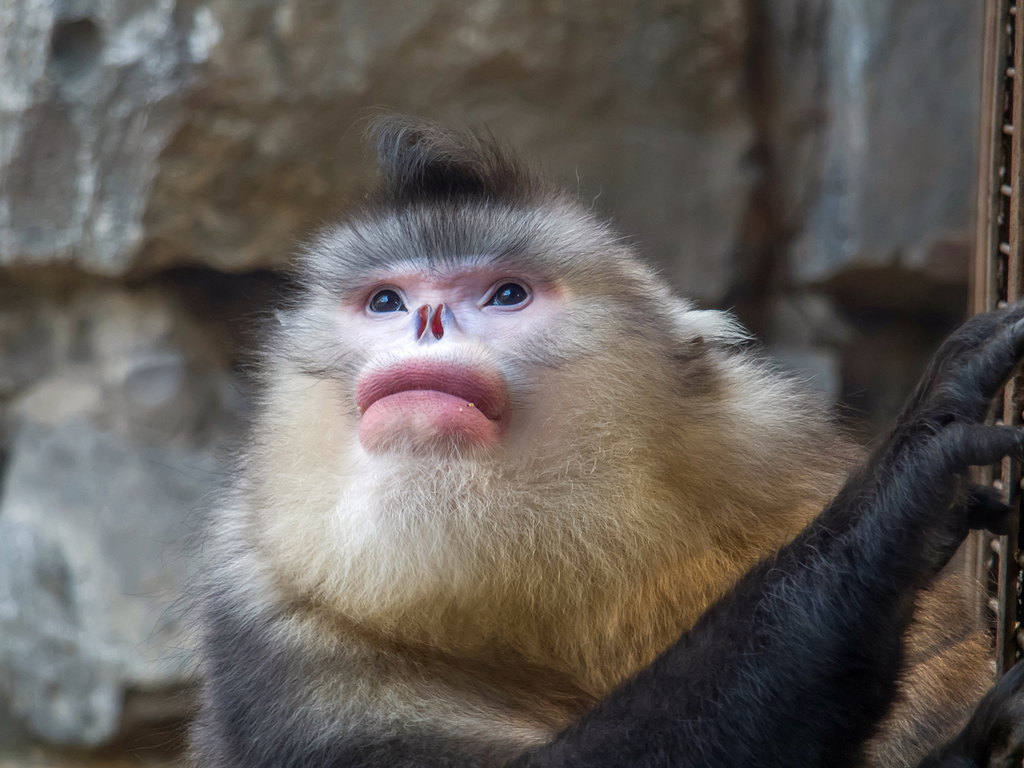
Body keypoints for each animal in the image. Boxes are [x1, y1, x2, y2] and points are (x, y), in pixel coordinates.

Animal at [190, 117, 1024, 767]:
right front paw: (905, 483)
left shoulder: (771, 468)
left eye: (507, 294)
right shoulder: (281, 632)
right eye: (386, 302)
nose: (427, 321)